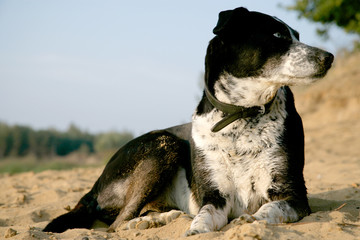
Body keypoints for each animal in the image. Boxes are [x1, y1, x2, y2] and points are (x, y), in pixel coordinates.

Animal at [43, 6, 334, 235]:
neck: (241, 113)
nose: (329, 57)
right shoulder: (214, 196)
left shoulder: (293, 194)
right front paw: (196, 229)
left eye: (297, 36)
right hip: (164, 146)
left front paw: (251, 220)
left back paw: (161, 218)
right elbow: (204, 216)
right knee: (117, 224)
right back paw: (147, 223)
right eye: (277, 35)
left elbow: (269, 208)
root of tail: (93, 188)